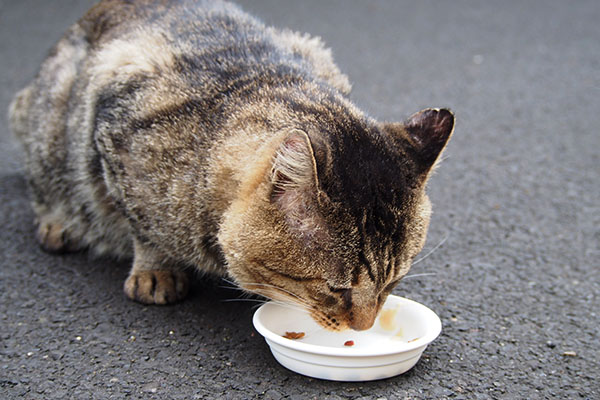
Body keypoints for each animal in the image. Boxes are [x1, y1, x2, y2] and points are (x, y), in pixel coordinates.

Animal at [9, 0, 452, 332]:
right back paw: (59, 221)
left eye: (392, 283)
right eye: (334, 289)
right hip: (46, 116)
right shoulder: (113, 130)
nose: (363, 328)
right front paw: (155, 268)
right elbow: (143, 224)